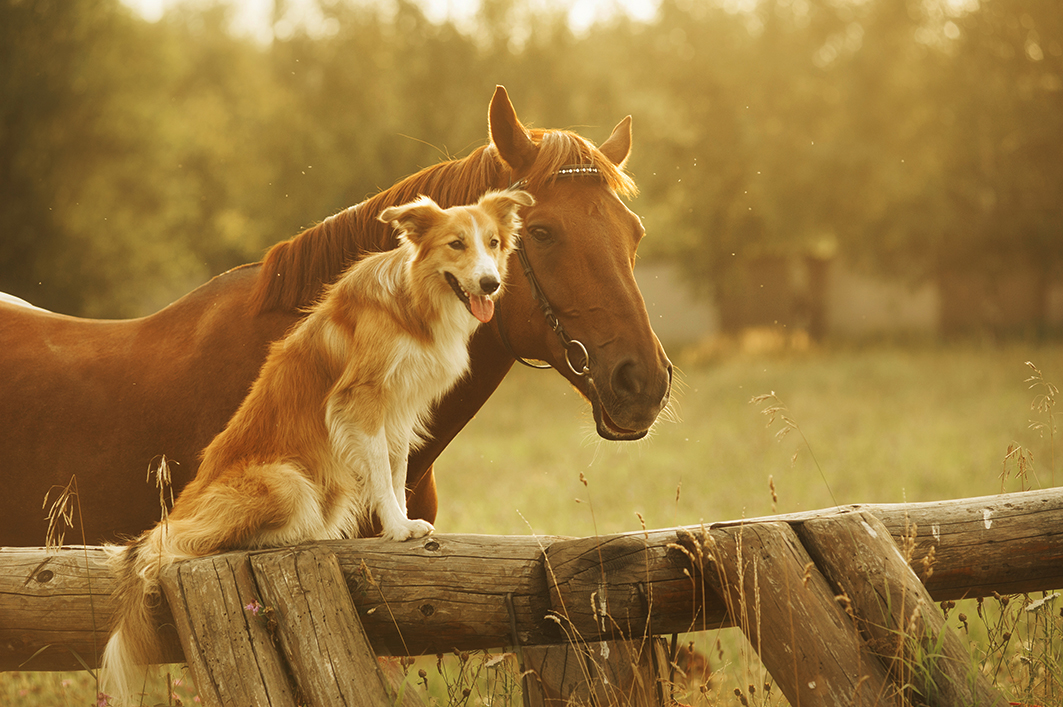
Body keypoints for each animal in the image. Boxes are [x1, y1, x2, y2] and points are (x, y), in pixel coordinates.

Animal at [99, 189, 531, 705]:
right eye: (456, 244)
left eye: (493, 242)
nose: (491, 283)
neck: (413, 301)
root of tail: (184, 505)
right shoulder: (361, 401)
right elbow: (382, 474)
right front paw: (397, 529)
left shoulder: (400, 410)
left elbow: (396, 469)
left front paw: (403, 523)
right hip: (287, 482)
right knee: (178, 543)